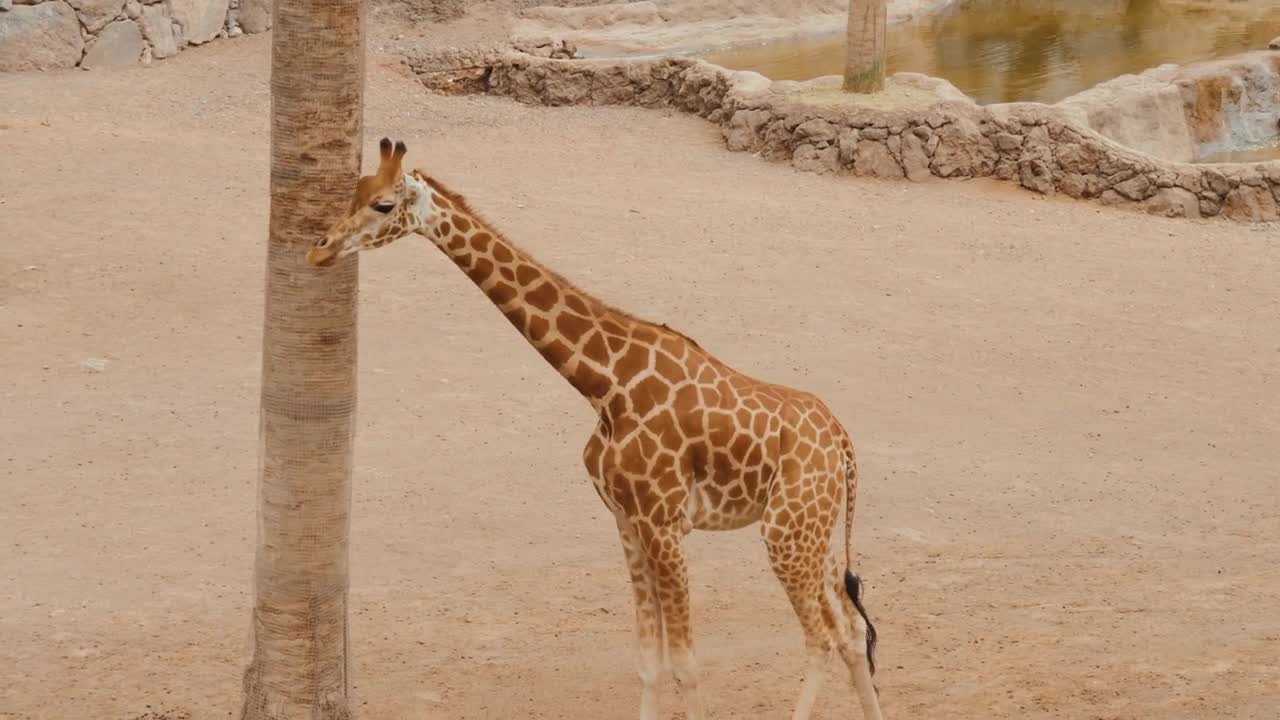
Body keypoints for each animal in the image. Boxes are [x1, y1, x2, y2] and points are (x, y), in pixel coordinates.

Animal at [308, 139, 885, 717]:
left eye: (383, 204)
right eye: (355, 190)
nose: (319, 250)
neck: (606, 384)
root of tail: (842, 442)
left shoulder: (662, 524)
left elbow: (687, 666)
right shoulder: (626, 522)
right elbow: (649, 662)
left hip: (785, 534)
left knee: (822, 636)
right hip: (814, 532)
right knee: (853, 630)